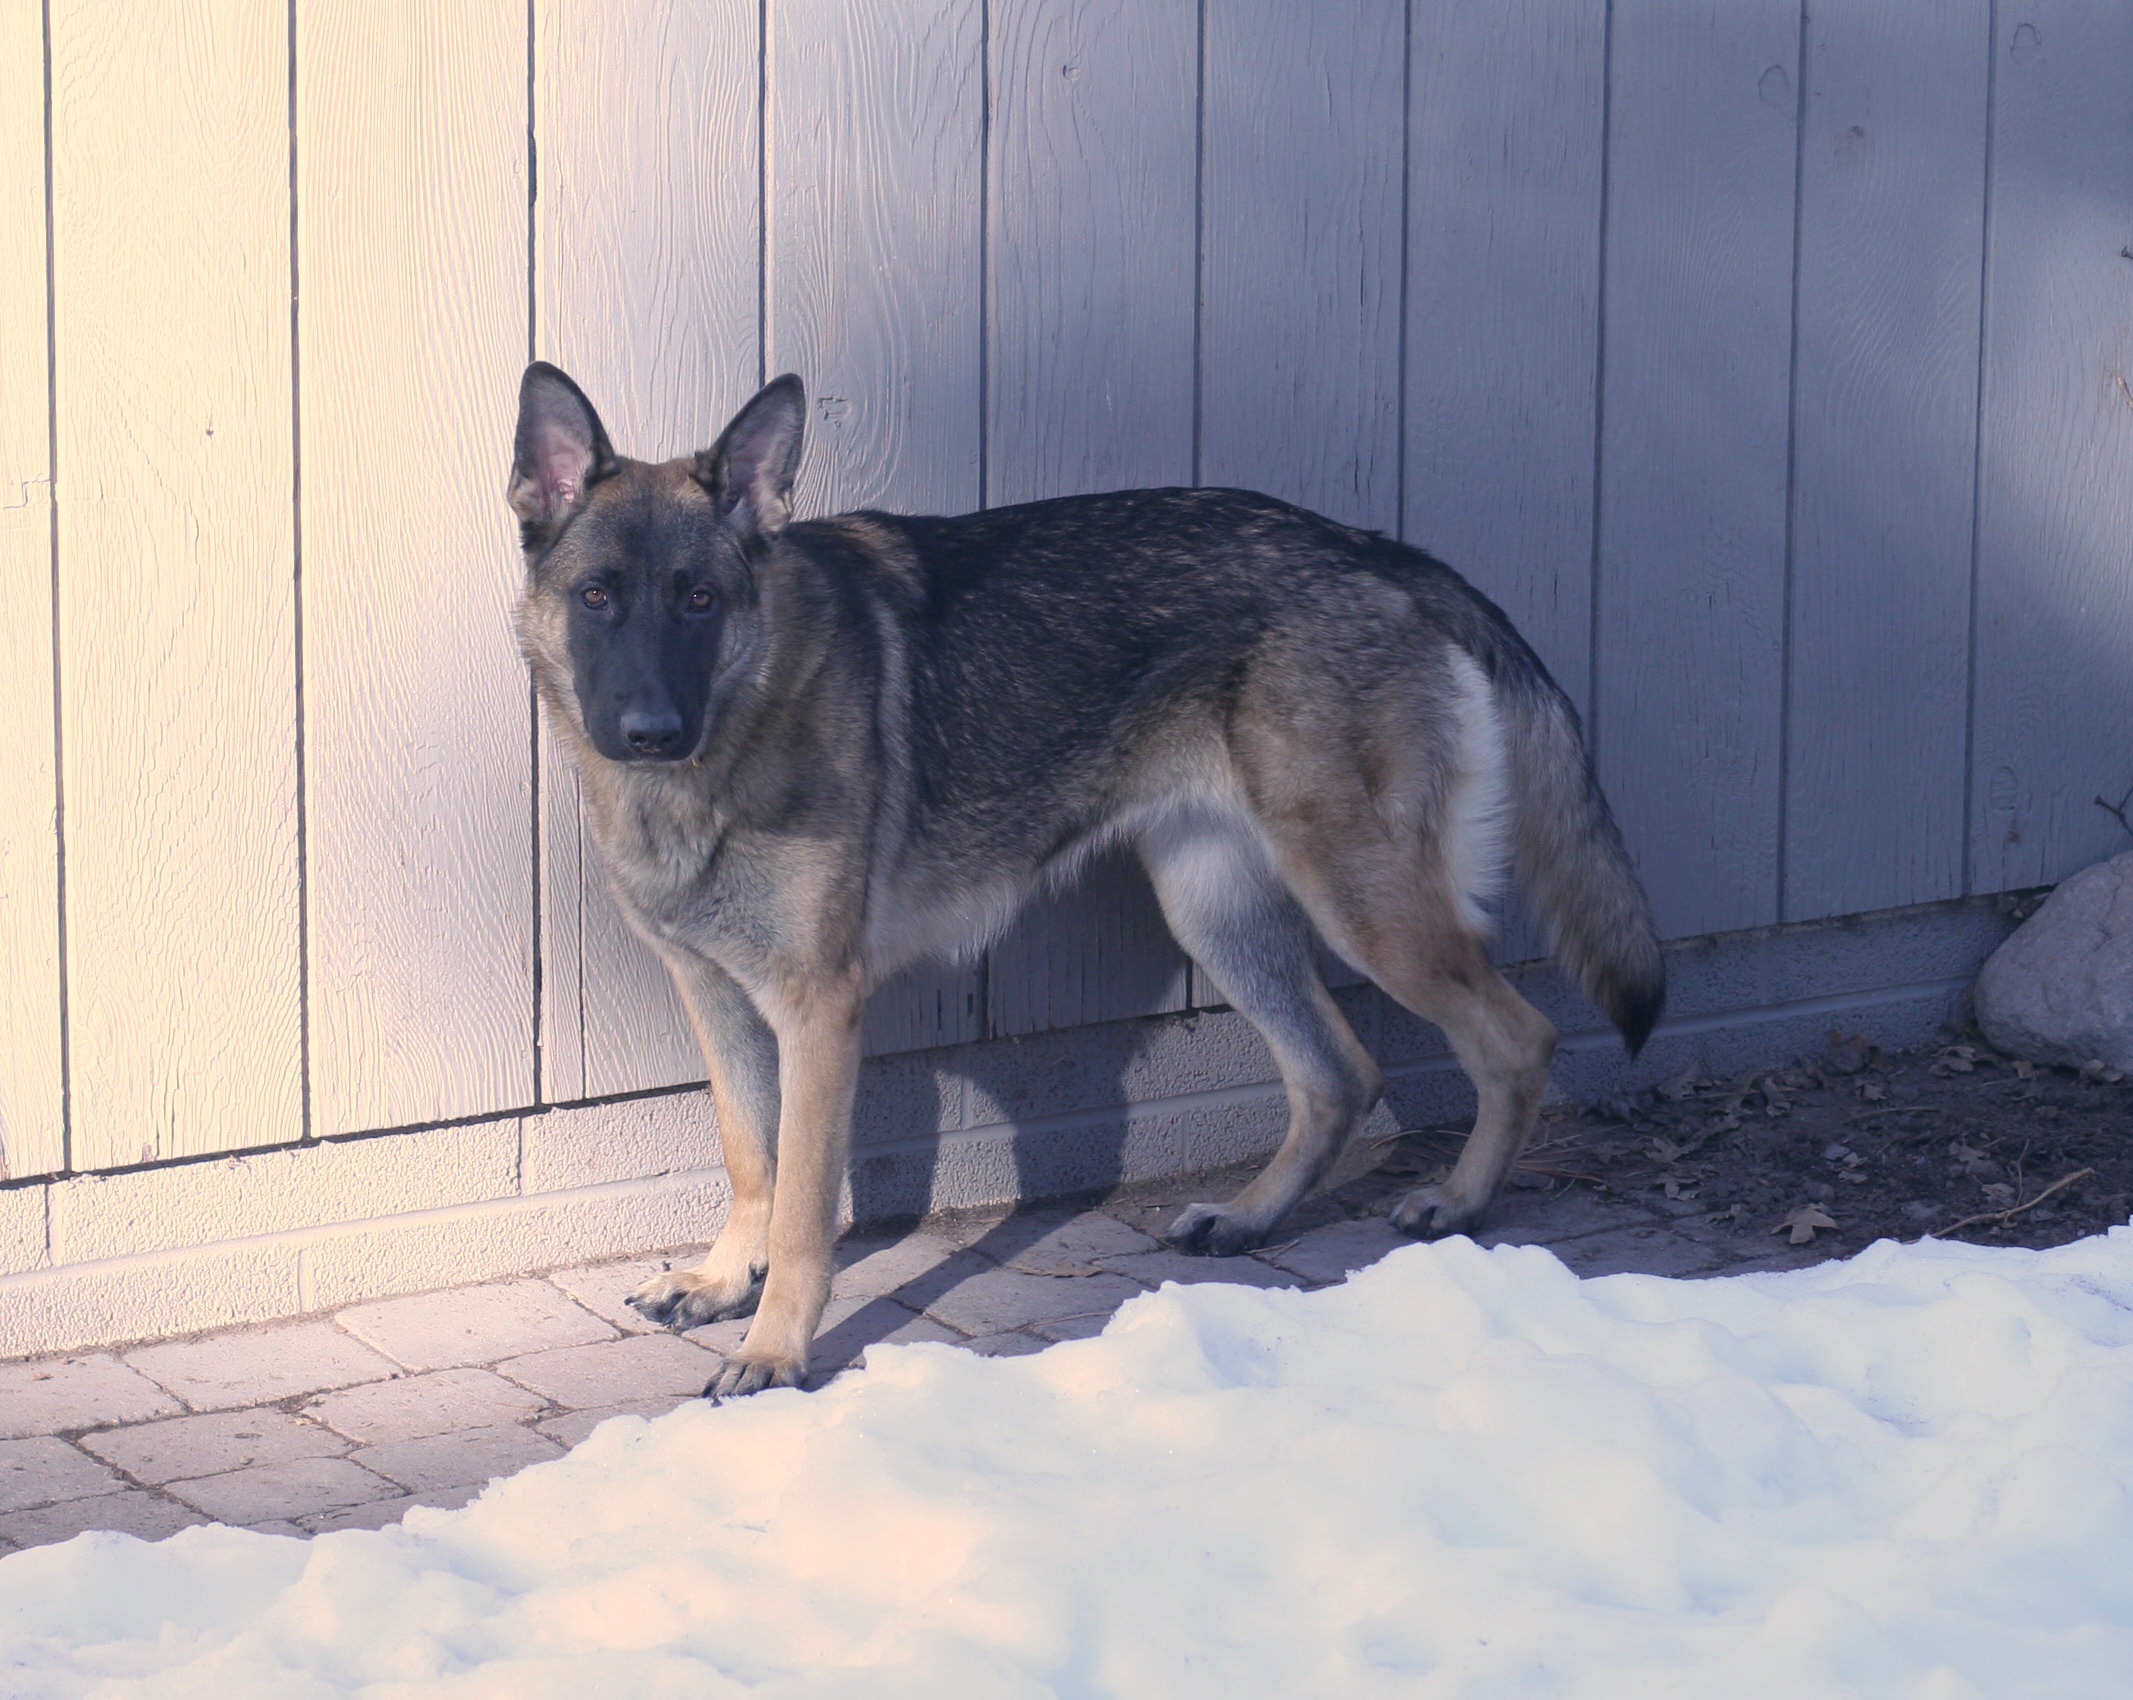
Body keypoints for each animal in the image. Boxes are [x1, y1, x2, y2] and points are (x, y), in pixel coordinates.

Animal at [509, 364, 1664, 1395]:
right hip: (1218, 917)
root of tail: (1372, 547)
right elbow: (750, 1155)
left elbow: (800, 1208)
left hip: (1364, 907)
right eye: (599, 597)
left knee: (1517, 1039)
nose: (651, 731)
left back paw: (1459, 1206)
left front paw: (777, 1348)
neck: (741, 719)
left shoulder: (818, 1013)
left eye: (699, 601)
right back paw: (1251, 1216)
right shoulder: (718, 998)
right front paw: (720, 1281)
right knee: (1340, 1073)